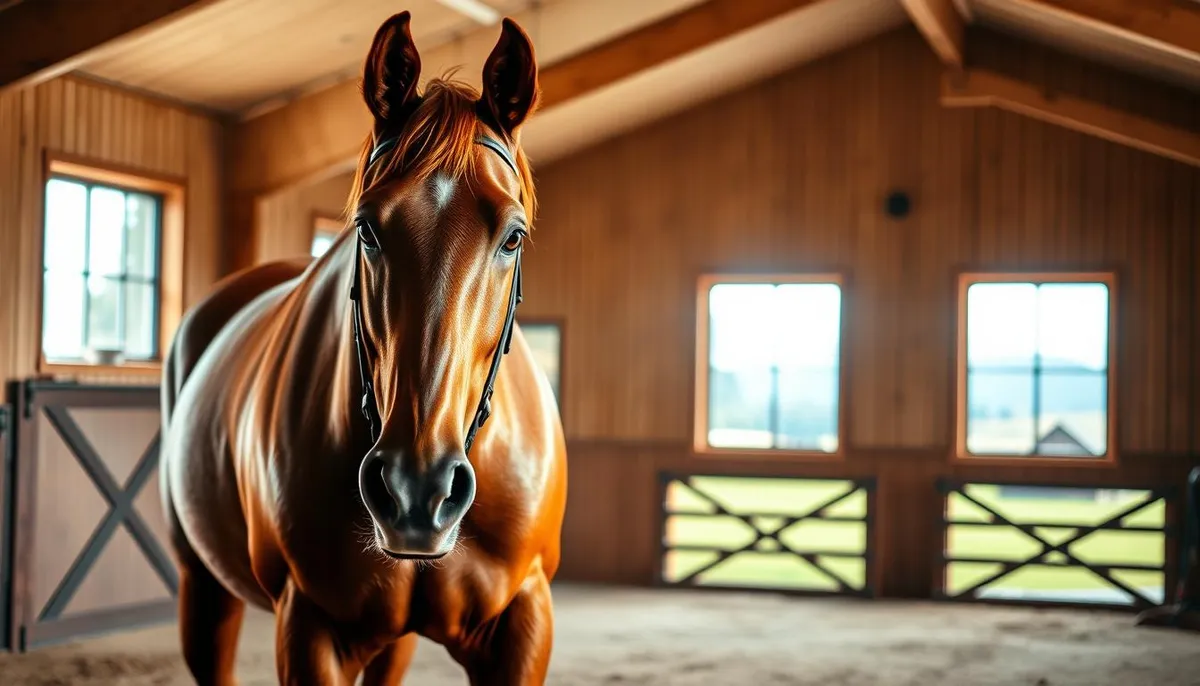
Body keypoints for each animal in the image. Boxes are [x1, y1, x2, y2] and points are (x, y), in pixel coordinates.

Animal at [159, 12, 567, 684]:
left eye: (513, 236)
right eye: (367, 227)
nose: (416, 490)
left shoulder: (523, 622)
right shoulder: (309, 627)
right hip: (204, 589)